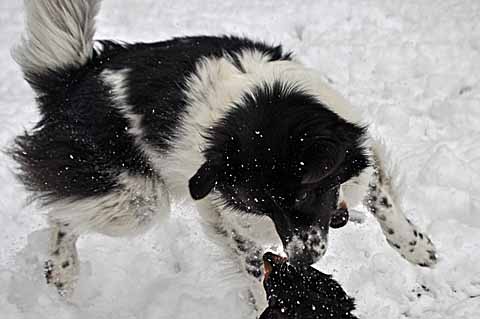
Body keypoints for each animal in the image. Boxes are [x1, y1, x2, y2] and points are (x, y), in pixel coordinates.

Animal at [10, 0, 438, 304]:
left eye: (302, 194)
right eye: (263, 205)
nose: (302, 258)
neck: (260, 105)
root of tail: (72, 79)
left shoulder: (358, 152)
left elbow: (385, 204)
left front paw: (417, 247)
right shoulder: (229, 219)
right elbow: (256, 276)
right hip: (135, 201)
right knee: (62, 212)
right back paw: (62, 270)